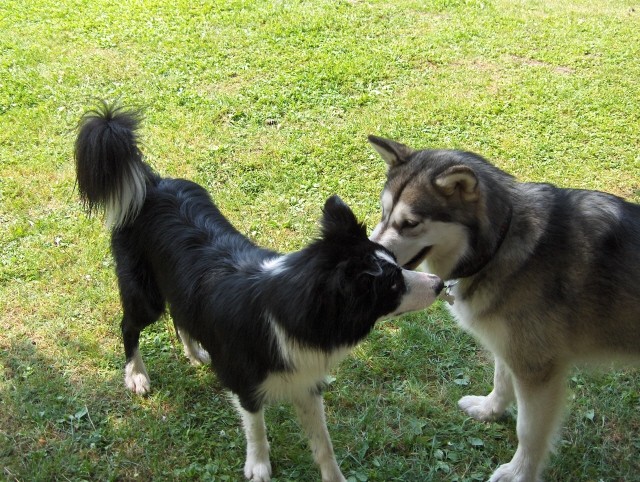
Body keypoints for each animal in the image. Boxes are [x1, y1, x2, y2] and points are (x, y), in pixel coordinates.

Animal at [74, 104, 444, 482]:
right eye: (393, 284)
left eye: (397, 267)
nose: (440, 284)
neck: (295, 304)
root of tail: (152, 184)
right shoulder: (245, 380)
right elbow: (256, 426)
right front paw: (259, 465)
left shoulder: (305, 378)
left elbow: (322, 443)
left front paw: (333, 476)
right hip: (145, 293)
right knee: (129, 326)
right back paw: (136, 375)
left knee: (181, 316)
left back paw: (194, 353)